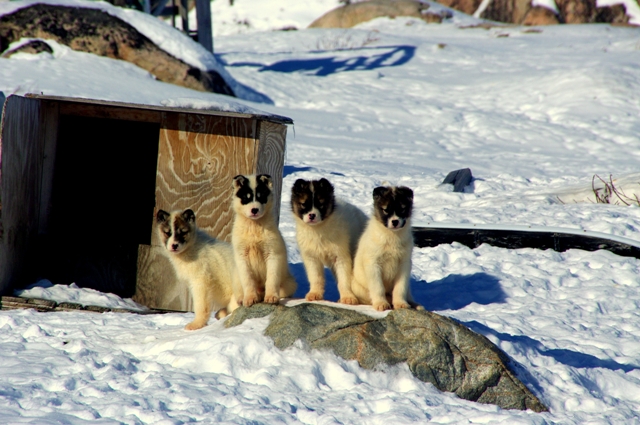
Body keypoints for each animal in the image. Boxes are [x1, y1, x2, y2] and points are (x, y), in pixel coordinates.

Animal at [232, 174, 298, 306]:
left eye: (261, 196)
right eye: (246, 198)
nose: (254, 210)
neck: (254, 226)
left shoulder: (273, 254)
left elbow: (271, 278)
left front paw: (271, 297)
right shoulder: (242, 257)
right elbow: (248, 280)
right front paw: (250, 298)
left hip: (289, 283)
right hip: (236, 277)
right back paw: (242, 298)